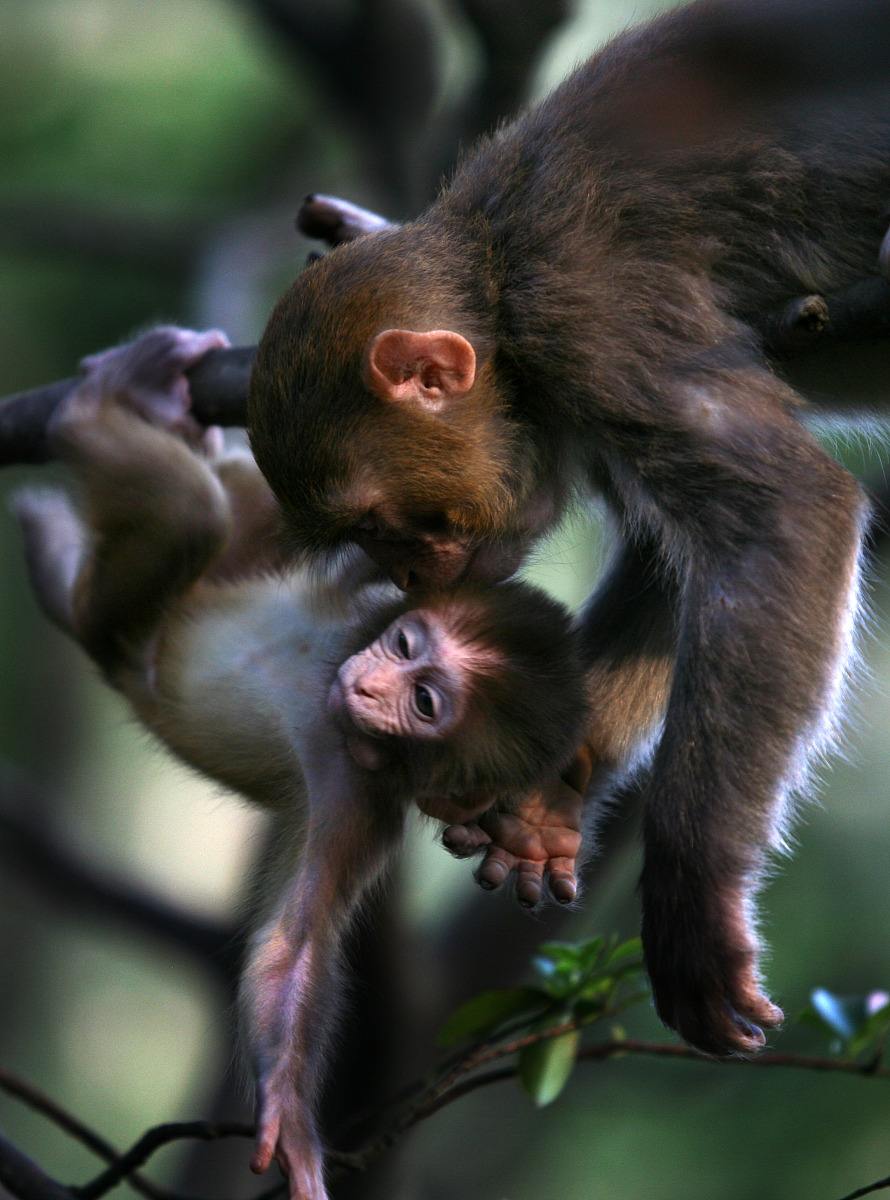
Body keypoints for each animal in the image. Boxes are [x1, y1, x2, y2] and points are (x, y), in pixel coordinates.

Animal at [12, 326, 592, 1200]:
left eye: (425, 703)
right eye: (406, 645)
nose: (371, 681)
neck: (325, 690)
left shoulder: (359, 804)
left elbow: (292, 951)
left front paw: (290, 1118)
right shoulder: (370, 602)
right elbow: (440, 540)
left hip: (133, 638)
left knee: (185, 521)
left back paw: (70, 495)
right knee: (235, 510)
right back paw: (142, 398)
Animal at [245, 0, 890, 1056]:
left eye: (383, 523)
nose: (411, 578)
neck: (498, 271)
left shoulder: (591, 326)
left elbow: (782, 515)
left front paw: (691, 889)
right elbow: (671, 562)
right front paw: (551, 801)